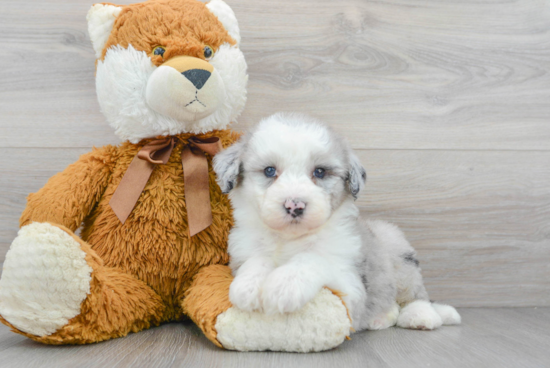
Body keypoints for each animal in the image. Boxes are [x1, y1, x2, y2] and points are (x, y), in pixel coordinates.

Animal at [213, 113, 464, 332]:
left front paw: (284, 285)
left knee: (416, 296)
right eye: (269, 170)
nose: (295, 205)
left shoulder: (351, 286)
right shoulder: (242, 254)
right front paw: (247, 286)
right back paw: (380, 319)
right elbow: (257, 259)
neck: (289, 238)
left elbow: (314, 258)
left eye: (320, 172)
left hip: (399, 253)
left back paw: (421, 316)